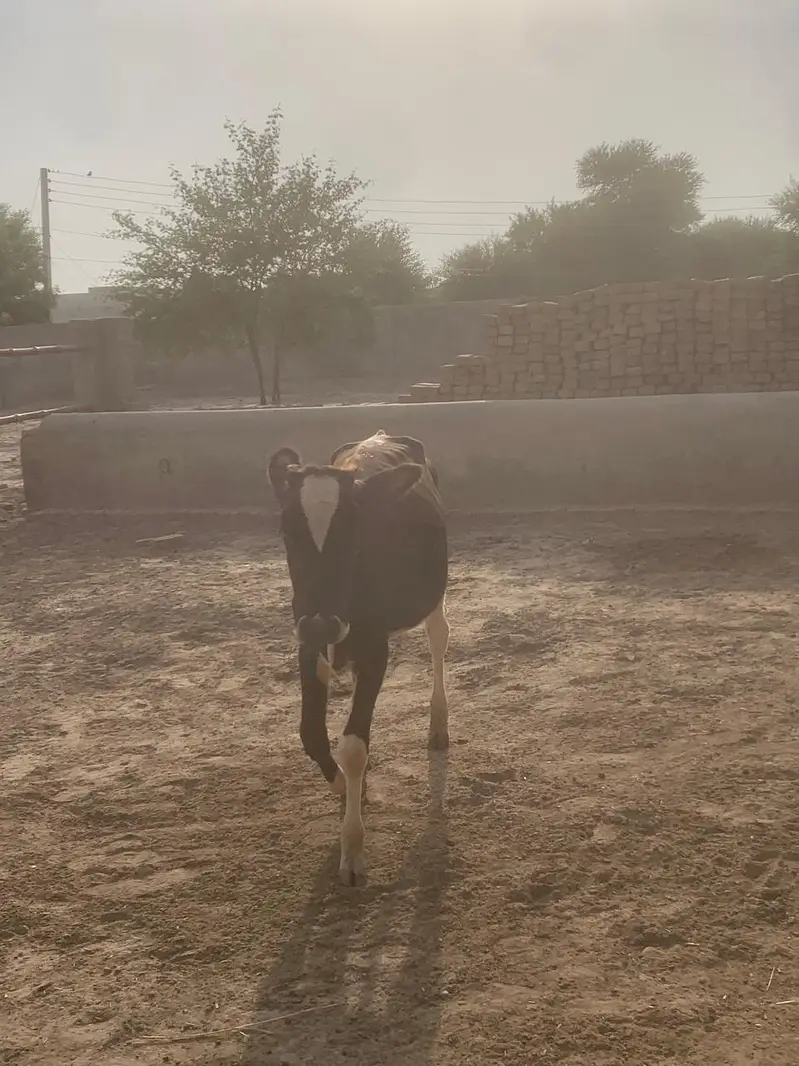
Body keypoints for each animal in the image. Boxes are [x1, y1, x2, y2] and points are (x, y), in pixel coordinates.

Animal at [268, 430, 449, 886]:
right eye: (286, 528)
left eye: (355, 529)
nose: (323, 623)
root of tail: (383, 435)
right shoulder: (306, 640)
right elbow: (311, 733)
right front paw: (345, 787)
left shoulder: (375, 650)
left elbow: (352, 747)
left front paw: (352, 851)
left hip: (433, 595)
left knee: (439, 639)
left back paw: (439, 726)